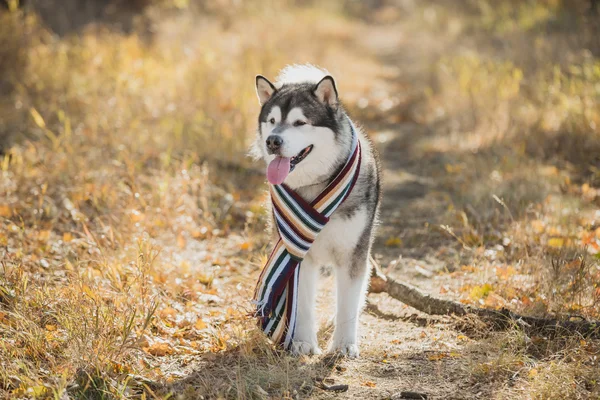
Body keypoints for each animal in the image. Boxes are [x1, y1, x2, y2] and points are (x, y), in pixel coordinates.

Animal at [252, 65, 382, 360]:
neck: (315, 186)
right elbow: (301, 302)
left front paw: (344, 343)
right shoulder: (297, 251)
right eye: (272, 120)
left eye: (300, 123)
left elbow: (347, 302)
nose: (272, 141)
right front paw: (302, 342)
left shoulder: (351, 253)